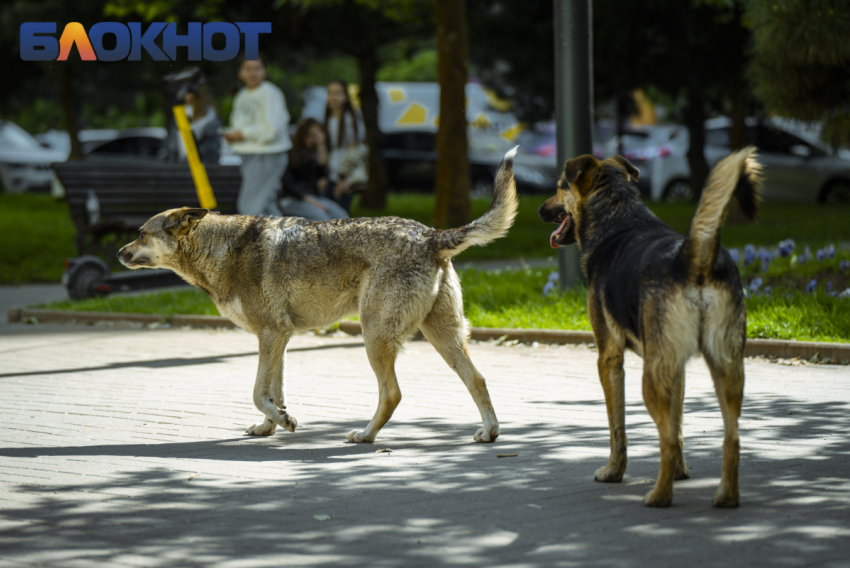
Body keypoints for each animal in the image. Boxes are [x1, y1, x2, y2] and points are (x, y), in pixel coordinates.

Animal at [117, 149, 516, 446]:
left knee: (392, 394)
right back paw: (489, 432)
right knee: (478, 379)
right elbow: (273, 391)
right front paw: (274, 424)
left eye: (140, 233)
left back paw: (365, 435)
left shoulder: (271, 334)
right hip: (442, 337)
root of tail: (429, 234)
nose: (119, 253)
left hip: (375, 336)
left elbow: (258, 392)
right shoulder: (279, 338)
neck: (220, 249)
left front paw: (281, 420)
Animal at [536, 150, 760, 506]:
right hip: (726, 367)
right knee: (731, 436)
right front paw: (681, 472)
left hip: (651, 377)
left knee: (665, 438)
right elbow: (678, 426)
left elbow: (618, 427)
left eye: (560, 186)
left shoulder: (609, 358)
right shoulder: (675, 366)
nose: (539, 210)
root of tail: (694, 257)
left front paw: (613, 472)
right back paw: (725, 496)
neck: (618, 213)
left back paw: (658, 496)